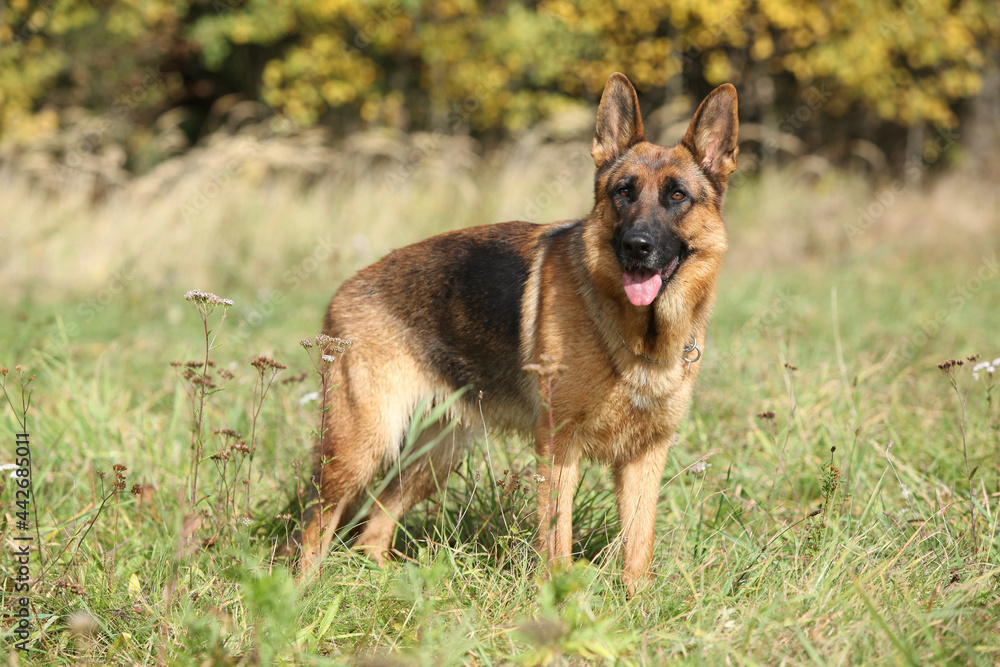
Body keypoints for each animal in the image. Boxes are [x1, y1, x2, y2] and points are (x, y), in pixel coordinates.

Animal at [296, 75, 736, 592]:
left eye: (677, 196)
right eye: (624, 193)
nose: (637, 246)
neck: (638, 335)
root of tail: (345, 288)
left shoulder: (645, 457)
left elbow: (638, 546)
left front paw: (636, 602)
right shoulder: (559, 447)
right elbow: (558, 538)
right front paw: (560, 596)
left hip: (435, 456)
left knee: (374, 528)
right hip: (362, 447)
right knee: (316, 526)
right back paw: (299, 594)